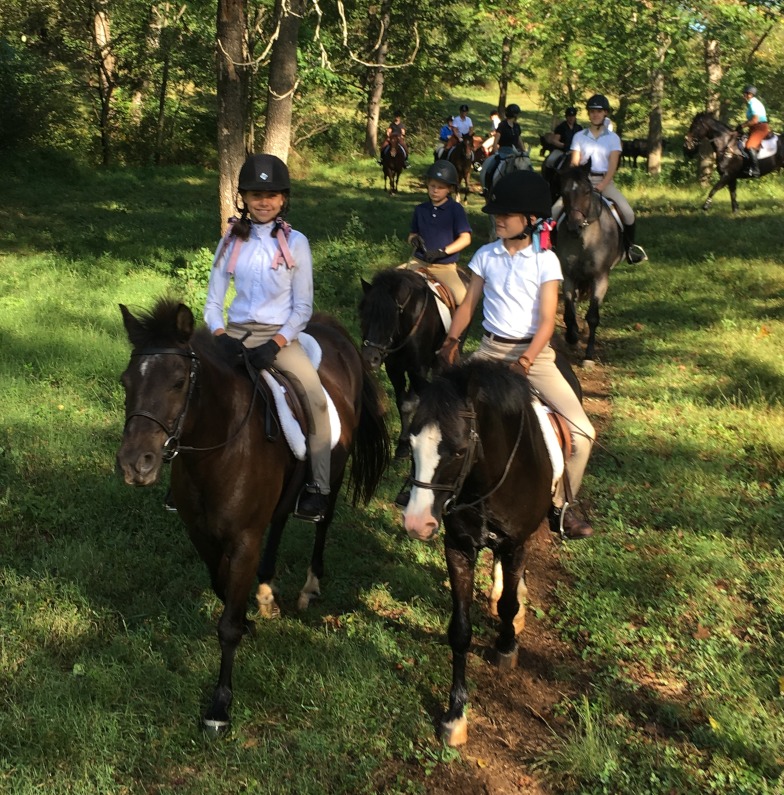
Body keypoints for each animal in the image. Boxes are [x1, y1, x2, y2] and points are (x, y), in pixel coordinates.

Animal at [115, 302, 390, 736]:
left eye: (178, 382)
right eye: (127, 381)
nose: (133, 464)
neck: (219, 448)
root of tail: (333, 329)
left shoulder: (244, 538)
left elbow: (226, 625)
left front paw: (220, 705)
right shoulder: (201, 534)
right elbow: (221, 585)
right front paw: (249, 614)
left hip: (333, 476)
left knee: (322, 521)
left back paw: (309, 587)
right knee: (278, 523)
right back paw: (265, 590)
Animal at [404, 360, 580, 748]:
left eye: (457, 450)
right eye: (410, 443)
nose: (417, 524)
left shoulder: (516, 543)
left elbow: (510, 604)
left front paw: (506, 645)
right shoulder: (458, 548)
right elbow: (460, 630)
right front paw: (455, 714)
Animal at [556, 165, 624, 364]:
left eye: (587, 191)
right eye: (564, 192)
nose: (574, 227)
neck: (585, 240)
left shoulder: (600, 278)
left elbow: (593, 316)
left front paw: (588, 355)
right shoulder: (568, 275)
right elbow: (569, 309)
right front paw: (572, 337)